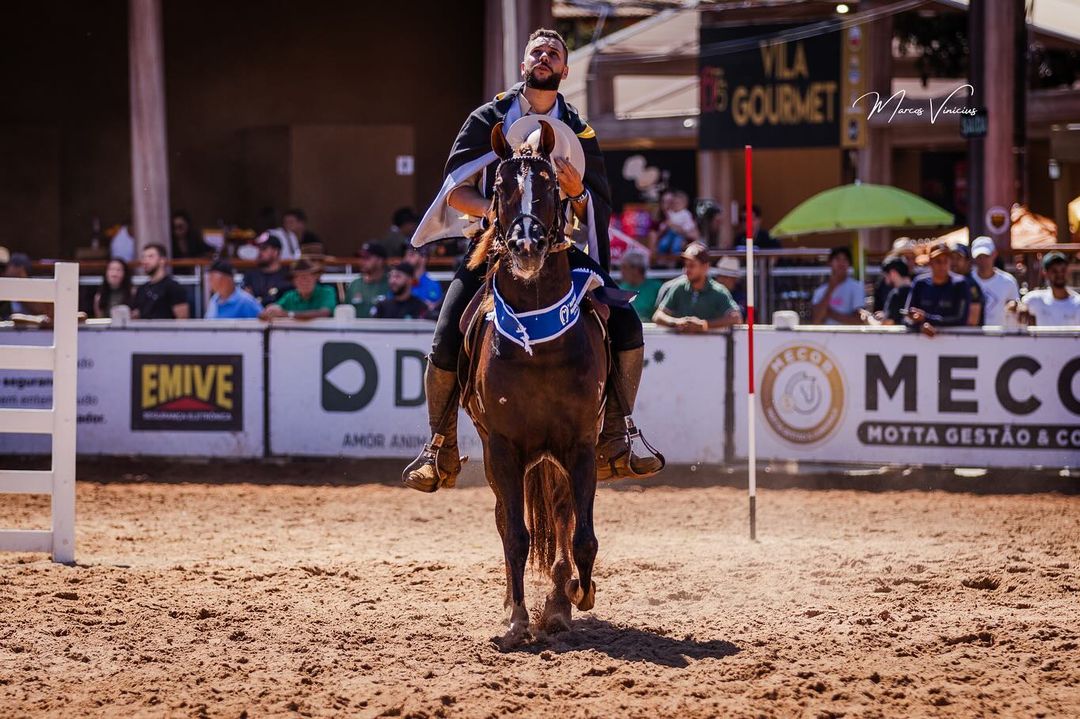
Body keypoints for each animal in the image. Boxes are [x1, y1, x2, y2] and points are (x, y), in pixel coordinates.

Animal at [466, 118, 613, 643]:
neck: (540, 344)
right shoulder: (503, 447)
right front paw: (515, 620)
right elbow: (515, 534)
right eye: (499, 186)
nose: (526, 246)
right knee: (506, 520)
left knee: (563, 516)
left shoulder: (581, 443)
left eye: (550, 184)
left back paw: (559, 601)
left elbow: (582, 535)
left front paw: (573, 595)